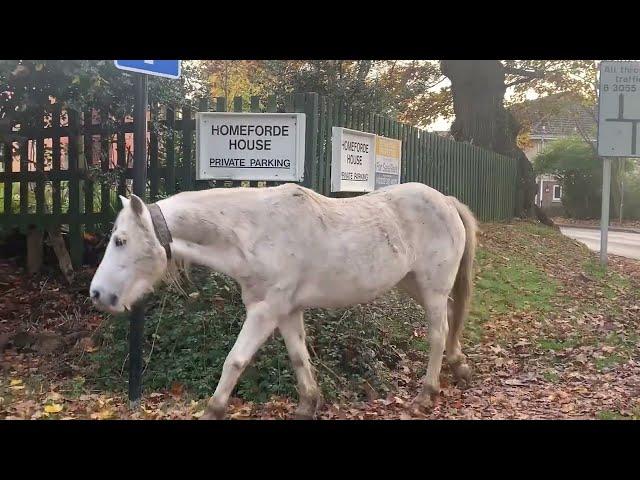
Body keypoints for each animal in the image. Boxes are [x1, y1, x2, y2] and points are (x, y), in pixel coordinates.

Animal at [91, 182, 480, 418]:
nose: (98, 294)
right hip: (414, 285)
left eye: (121, 240)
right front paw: (308, 404)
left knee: (437, 334)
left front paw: (213, 409)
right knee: (449, 321)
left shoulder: (266, 310)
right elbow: (298, 357)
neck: (253, 232)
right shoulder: (288, 311)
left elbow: (235, 360)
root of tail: (445, 201)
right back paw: (459, 365)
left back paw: (426, 393)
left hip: (431, 289)